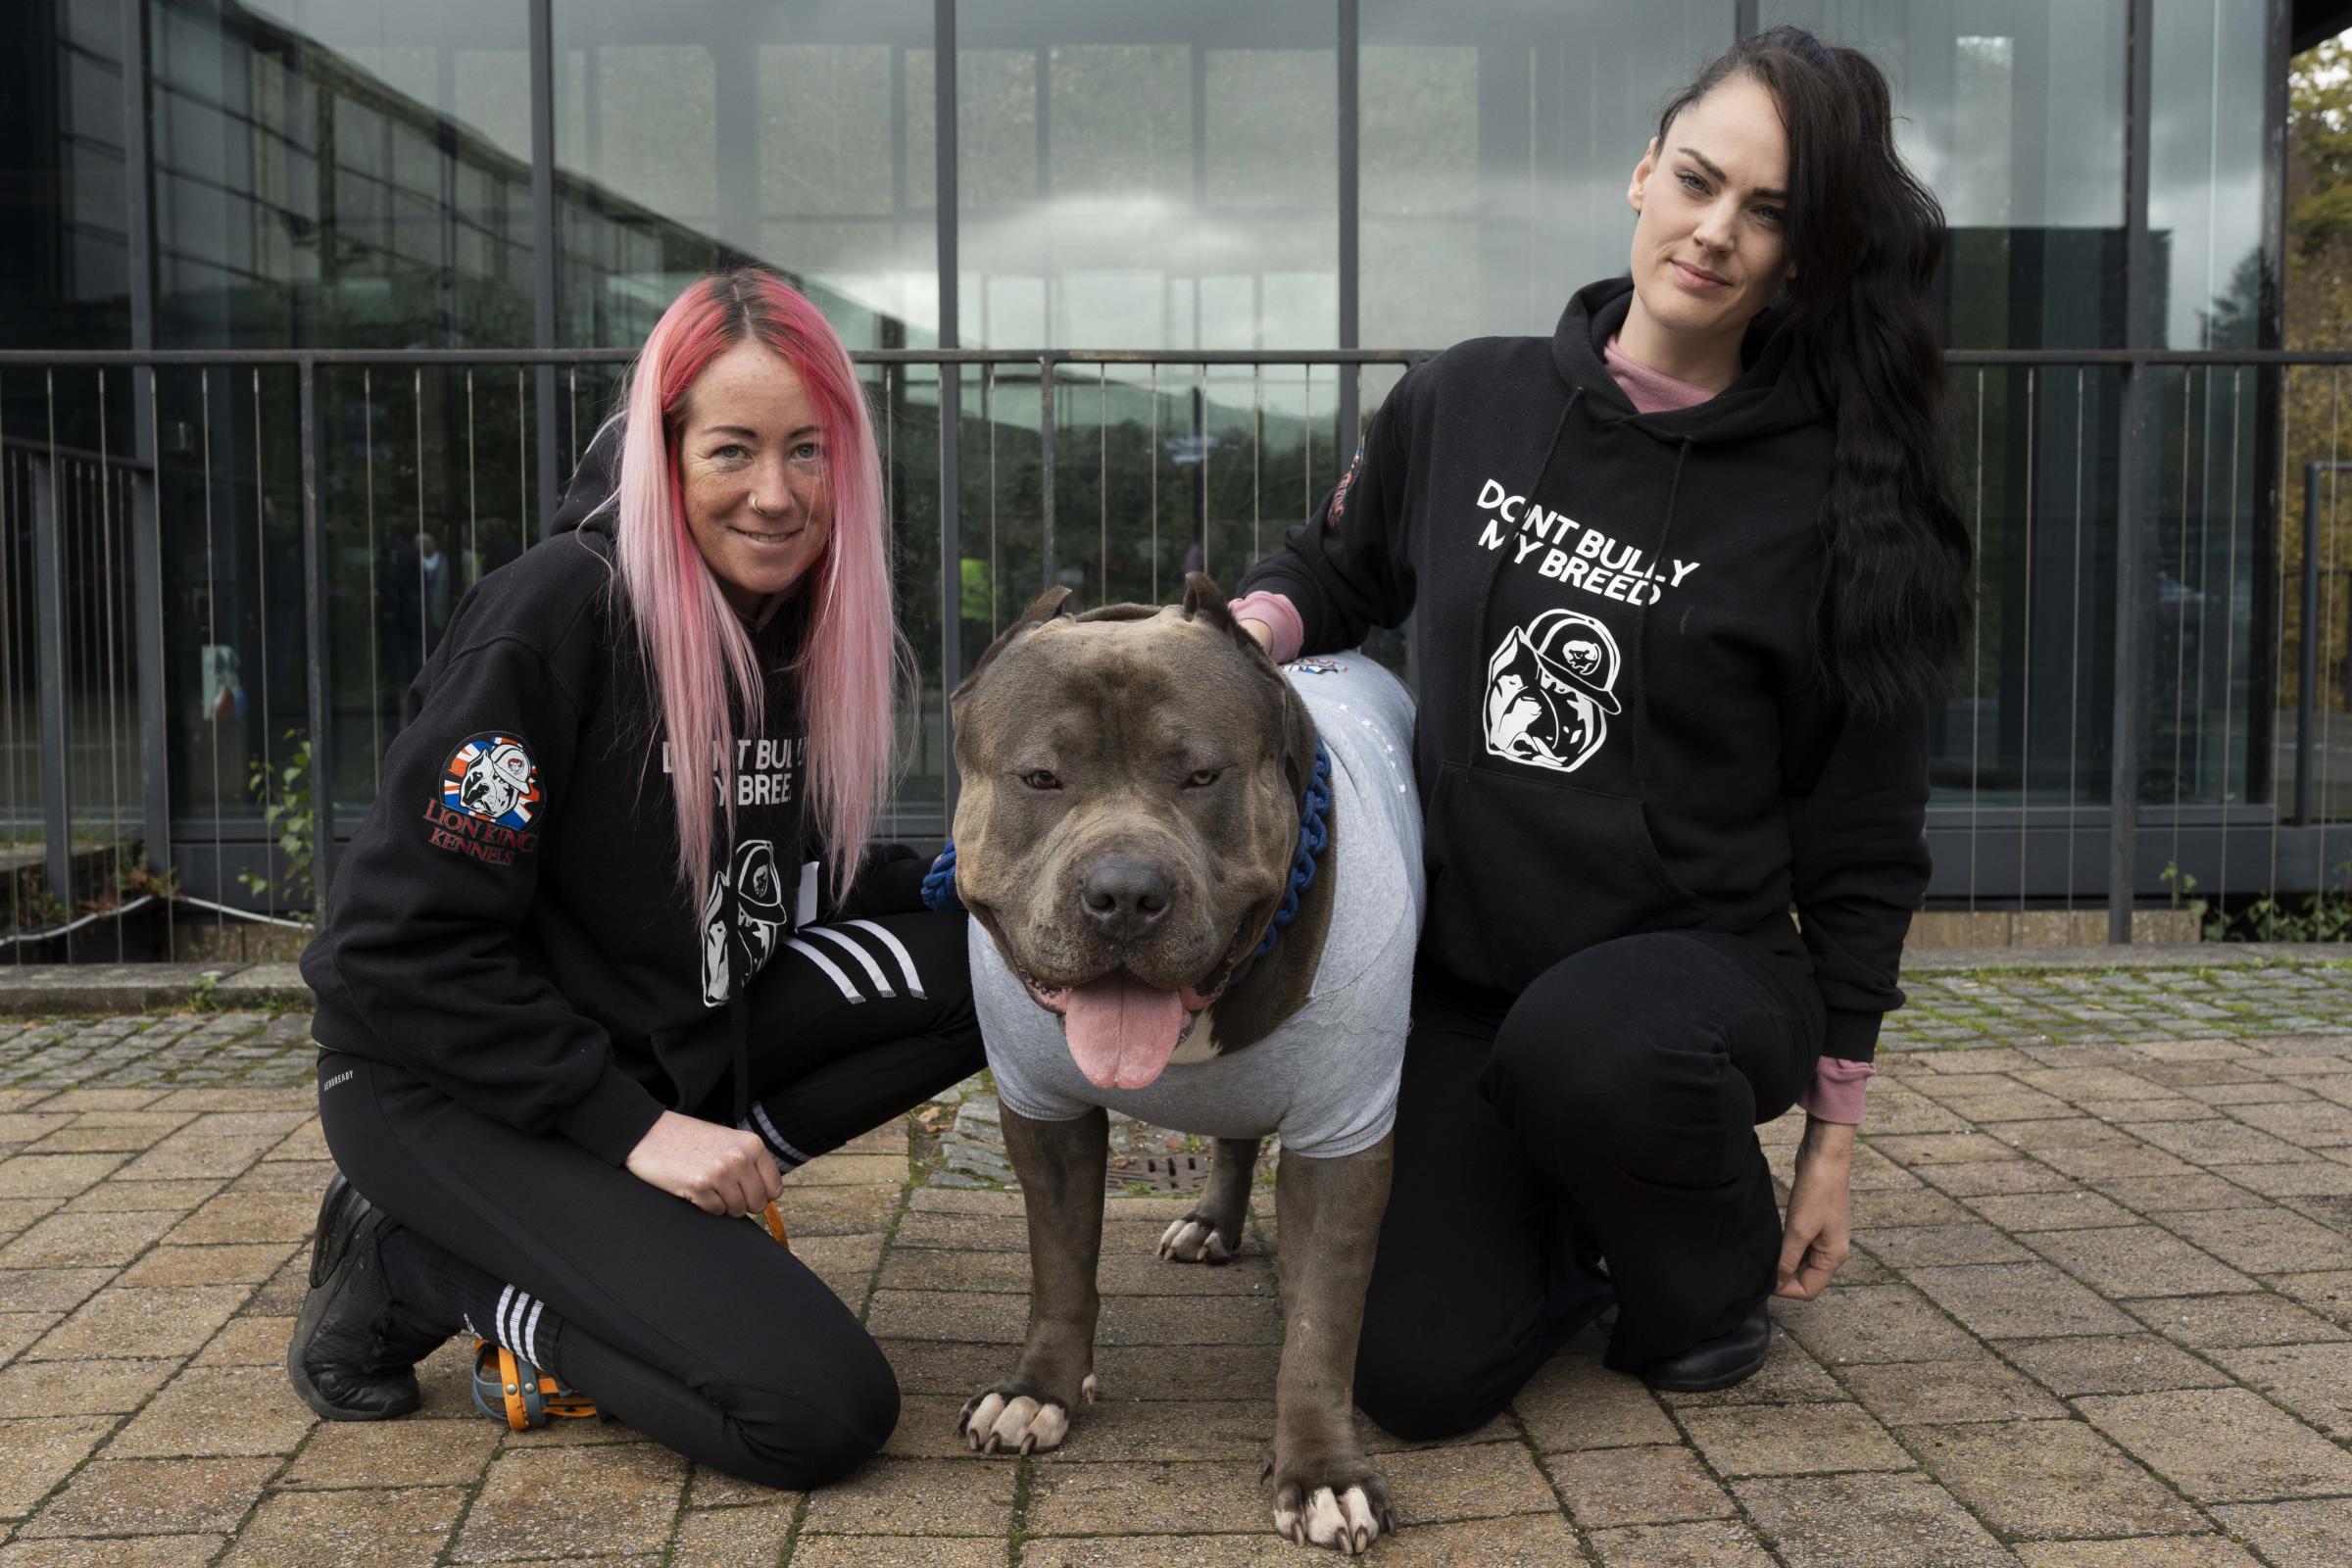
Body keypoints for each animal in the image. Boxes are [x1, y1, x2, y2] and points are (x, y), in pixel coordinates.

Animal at [936, 580, 1411, 1560]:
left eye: (1201, 776)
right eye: (1041, 778)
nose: (1123, 893)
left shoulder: (1344, 1134)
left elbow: (1320, 1323)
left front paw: (1324, 1473)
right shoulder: (1042, 1112)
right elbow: (1059, 1264)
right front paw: (1039, 1391)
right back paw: (1211, 1221)